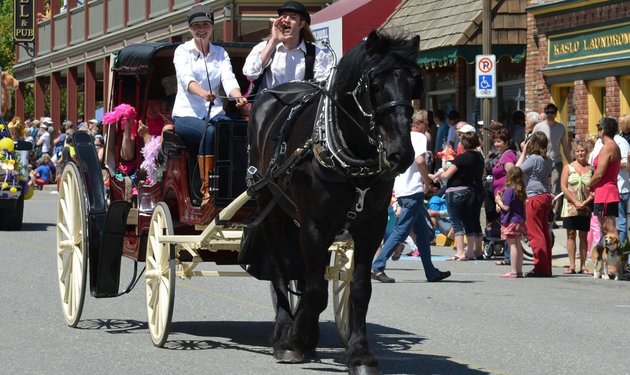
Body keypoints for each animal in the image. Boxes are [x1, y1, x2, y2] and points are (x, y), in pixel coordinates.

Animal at [246, 32, 420, 375]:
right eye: (374, 84)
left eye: (413, 83)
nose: (402, 154)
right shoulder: (314, 225)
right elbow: (315, 291)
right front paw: (296, 339)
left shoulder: (371, 226)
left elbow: (359, 288)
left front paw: (360, 353)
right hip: (270, 208)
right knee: (280, 270)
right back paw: (283, 331)